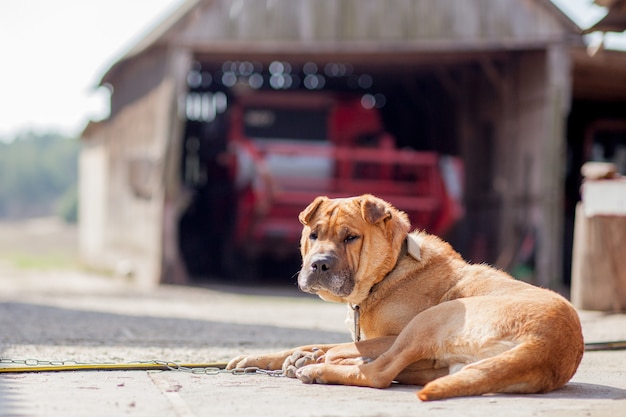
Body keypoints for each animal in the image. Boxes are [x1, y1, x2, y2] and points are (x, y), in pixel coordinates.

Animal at [225, 195, 584, 400]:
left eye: (350, 237)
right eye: (313, 235)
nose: (319, 264)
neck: (388, 271)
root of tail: (545, 346)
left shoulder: (391, 335)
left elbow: (341, 346)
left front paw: (310, 358)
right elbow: (315, 343)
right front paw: (257, 358)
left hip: (431, 319)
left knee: (379, 373)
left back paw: (318, 369)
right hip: (450, 365)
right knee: (390, 367)